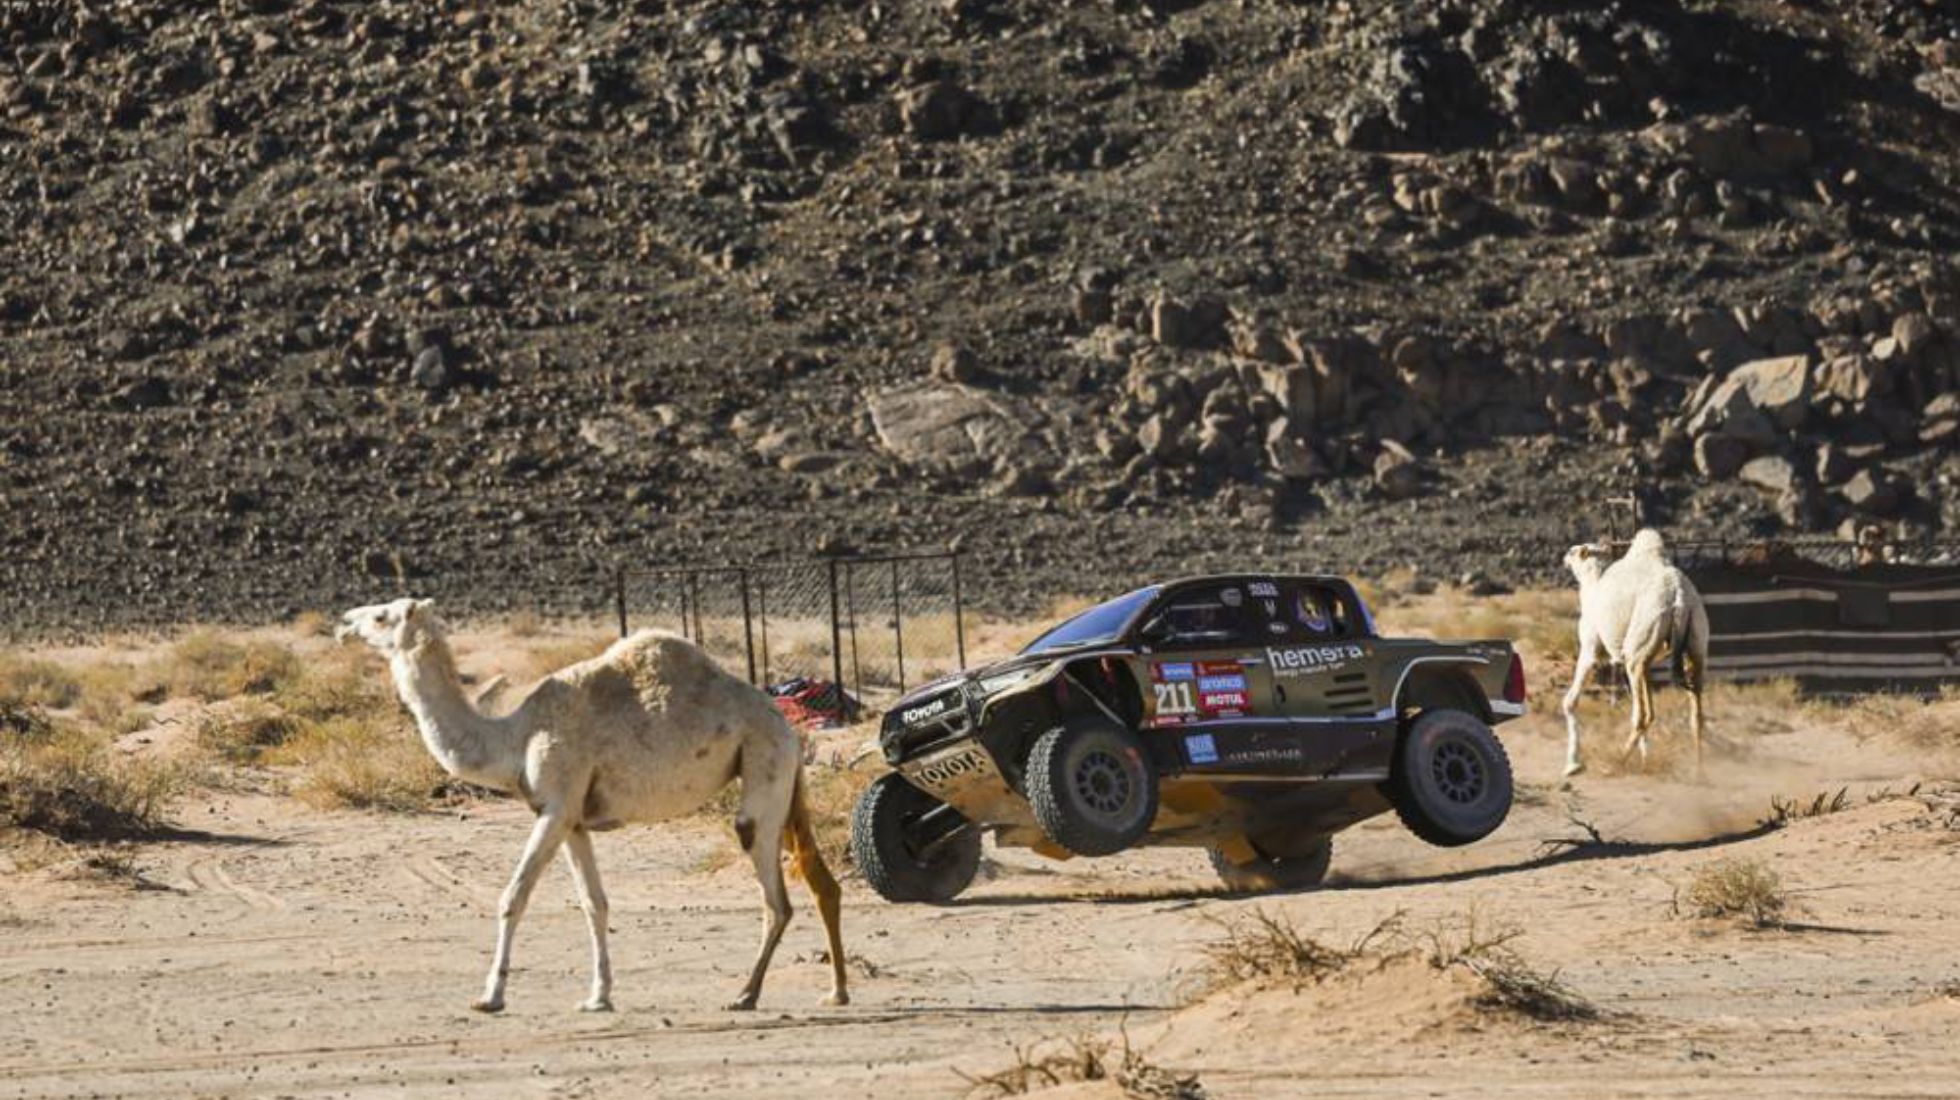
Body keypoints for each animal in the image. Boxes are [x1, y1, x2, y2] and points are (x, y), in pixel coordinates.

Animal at [336, 598, 847, 1014]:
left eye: (382, 616)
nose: (343, 623)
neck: (514, 737)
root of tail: (786, 725)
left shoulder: (556, 806)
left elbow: (513, 896)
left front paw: (490, 996)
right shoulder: (573, 821)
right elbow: (593, 903)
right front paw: (598, 996)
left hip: (763, 765)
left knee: (774, 896)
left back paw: (745, 994)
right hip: (783, 781)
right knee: (820, 881)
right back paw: (836, 990)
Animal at [1560, 529, 1710, 778]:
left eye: (1574, 550)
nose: (1565, 557)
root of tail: (1679, 599)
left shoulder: (1591, 649)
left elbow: (1570, 701)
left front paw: (1572, 765)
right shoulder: (1647, 661)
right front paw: (1645, 759)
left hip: (1637, 649)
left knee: (1643, 716)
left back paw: (1614, 764)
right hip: (1694, 645)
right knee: (1693, 714)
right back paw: (1698, 770)